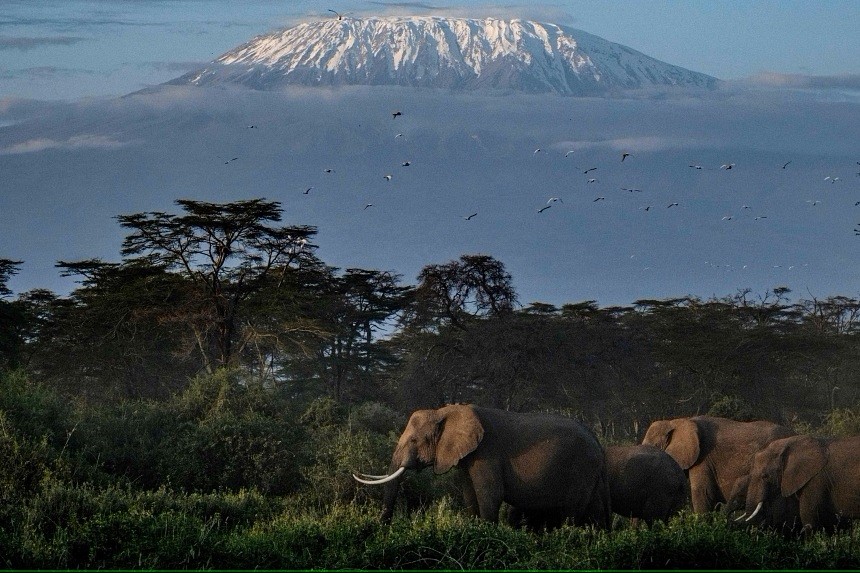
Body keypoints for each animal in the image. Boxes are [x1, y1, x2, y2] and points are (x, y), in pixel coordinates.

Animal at [354, 402, 612, 528]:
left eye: (414, 441)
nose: (383, 528)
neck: (445, 411)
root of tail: (599, 445)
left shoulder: (487, 452)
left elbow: (489, 493)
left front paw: (487, 532)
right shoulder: (467, 457)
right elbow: (470, 494)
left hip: (581, 468)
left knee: (572, 512)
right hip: (591, 474)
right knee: (595, 510)